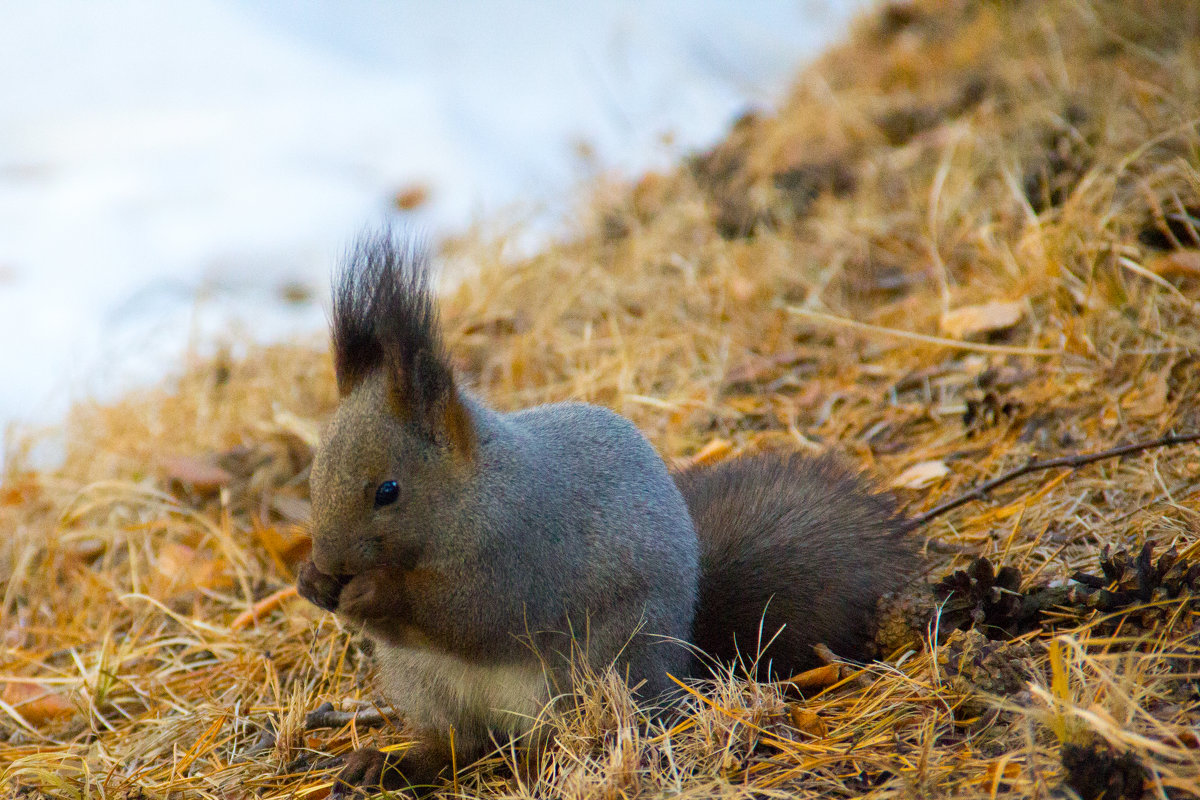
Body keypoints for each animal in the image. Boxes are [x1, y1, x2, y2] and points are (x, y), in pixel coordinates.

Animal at [295, 231, 912, 796]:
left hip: (593, 670)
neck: (473, 492)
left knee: (559, 737)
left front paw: (368, 591)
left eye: (388, 491)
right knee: (459, 745)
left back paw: (550, 764)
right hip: (428, 684)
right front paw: (311, 581)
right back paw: (389, 765)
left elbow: (470, 611)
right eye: (314, 473)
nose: (329, 558)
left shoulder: (523, 550)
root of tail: (680, 668)